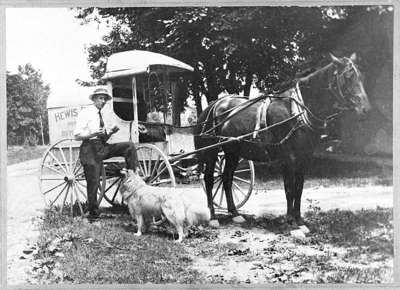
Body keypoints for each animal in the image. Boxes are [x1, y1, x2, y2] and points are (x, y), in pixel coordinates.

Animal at [194, 53, 372, 225]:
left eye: (362, 76)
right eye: (348, 76)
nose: (366, 109)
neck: (297, 111)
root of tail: (213, 105)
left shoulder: (304, 157)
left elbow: (299, 188)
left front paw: (299, 219)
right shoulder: (287, 157)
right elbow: (289, 189)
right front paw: (290, 219)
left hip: (233, 152)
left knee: (226, 178)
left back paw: (235, 214)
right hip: (211, 151)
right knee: (209, 179)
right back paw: (213, 217)